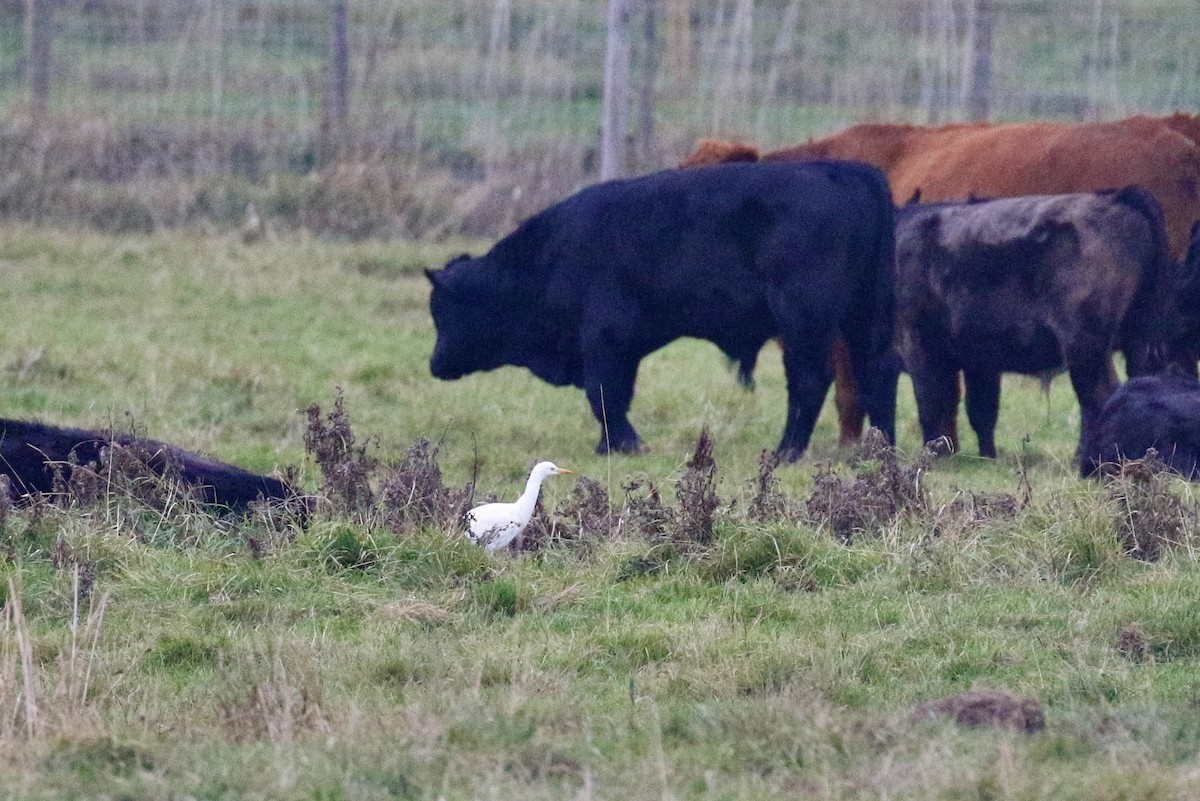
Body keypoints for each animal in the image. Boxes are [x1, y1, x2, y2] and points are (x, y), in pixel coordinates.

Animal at [427, 161, 897, 461]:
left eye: (444, 310)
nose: (435, 364)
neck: (548, 256)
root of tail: (846, 172)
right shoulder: (623, 349)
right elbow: (613, 395)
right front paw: (609, 446)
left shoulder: (603, 339)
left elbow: (604, 394)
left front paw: (628, 445)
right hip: (862, 318)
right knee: (876, 373)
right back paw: (880, 451)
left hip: (803, 321)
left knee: (810, 380)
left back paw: (786, 453)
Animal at [893, 186, 1181, 459]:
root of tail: (1118, 197)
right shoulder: (979, 358)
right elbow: (979, 409)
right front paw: (985, 456)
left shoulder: (918, 343)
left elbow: (932, 402)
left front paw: (937, 454)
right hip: (1139, 343)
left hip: (1086, 347)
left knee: (1100, 396)